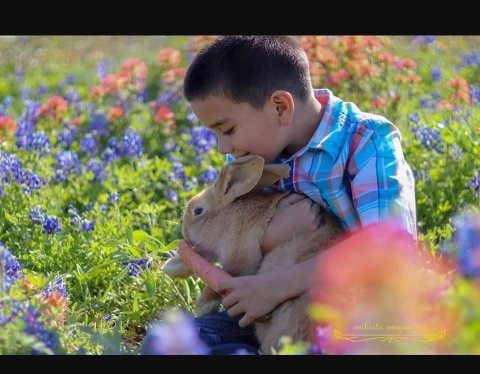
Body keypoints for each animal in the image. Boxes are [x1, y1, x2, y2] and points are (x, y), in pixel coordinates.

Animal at [163, 154, 344, 354]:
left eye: (198, 211)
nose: (184, 233)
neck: (226, 216)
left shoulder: (240, 260)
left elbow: (220, 280)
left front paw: (202, 307)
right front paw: (171, 267)